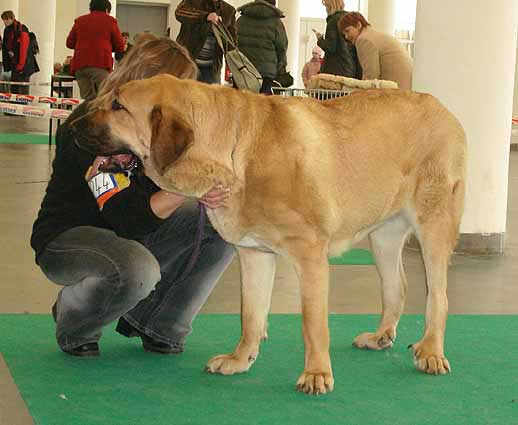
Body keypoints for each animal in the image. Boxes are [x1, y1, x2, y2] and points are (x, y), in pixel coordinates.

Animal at [72, 73, 468, 394]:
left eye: (118, 106)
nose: (73, 127)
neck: (231, 152)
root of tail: (443, 109)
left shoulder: (309, 255)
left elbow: (312, 323)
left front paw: (316, 374)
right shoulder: (254, 254)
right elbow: (251, 315)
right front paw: (240, 360)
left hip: (434, 224)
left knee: (439, 296)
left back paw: (431, 351)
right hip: (383, 236)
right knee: (396, 286)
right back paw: (381, 336)